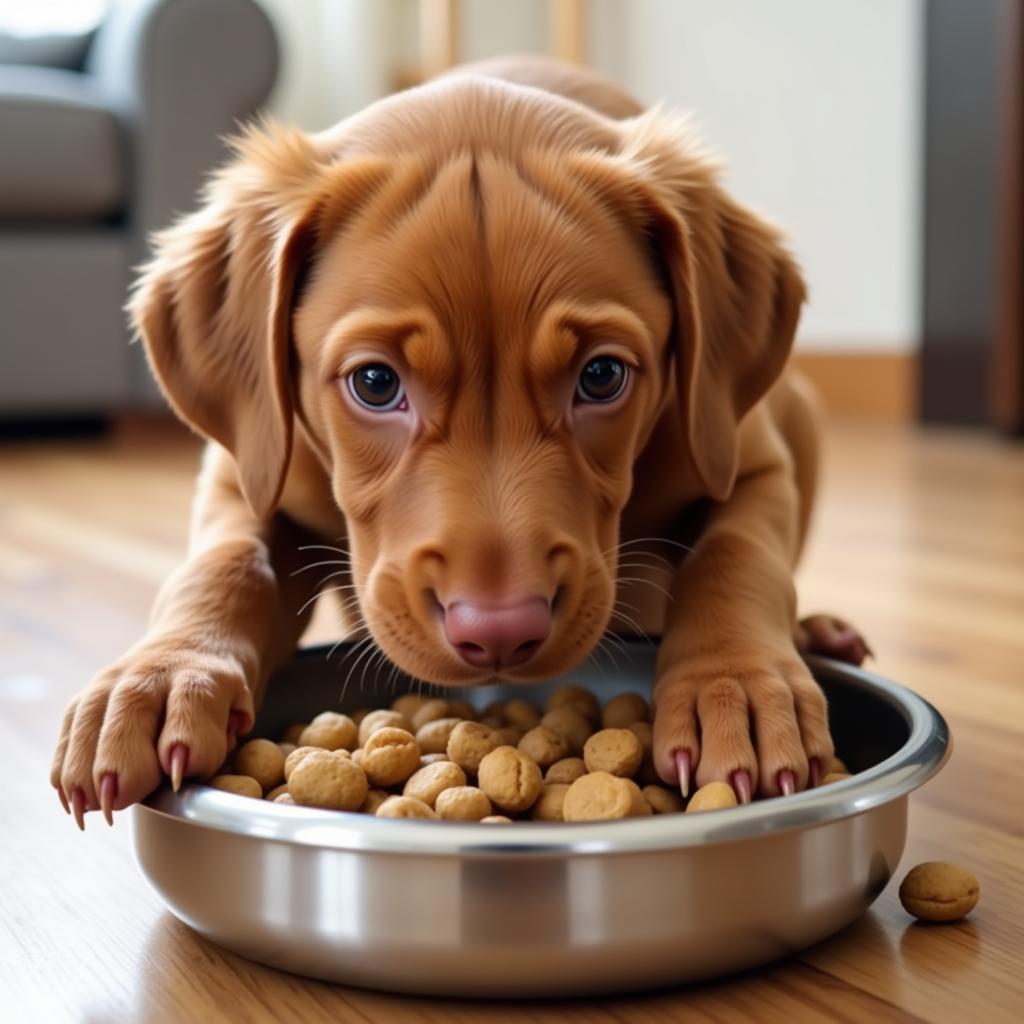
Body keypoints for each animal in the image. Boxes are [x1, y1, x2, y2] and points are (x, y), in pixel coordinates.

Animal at [49, 56, 864, 827]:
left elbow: (736, 557)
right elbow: (225, 563)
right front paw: (159, 679)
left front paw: (735, 687)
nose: (499, 634)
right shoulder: (244, 467)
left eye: (602, 376)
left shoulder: (745, 451)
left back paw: (820, 633)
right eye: (375, 383)